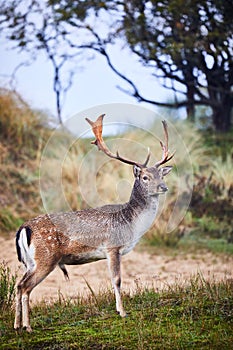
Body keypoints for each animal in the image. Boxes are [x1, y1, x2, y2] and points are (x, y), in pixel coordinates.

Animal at [14, 115, 173, 330]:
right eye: (146, 177)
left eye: (160, 175)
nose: (163, 187)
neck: (131, 224)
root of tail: (24, 228)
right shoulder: (113, 247)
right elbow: (117, 279)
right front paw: (122, 312)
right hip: (45, 259)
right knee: (25, 287)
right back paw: (28, 326)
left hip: (30, 262)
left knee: (18, 284)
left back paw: (16, 325)